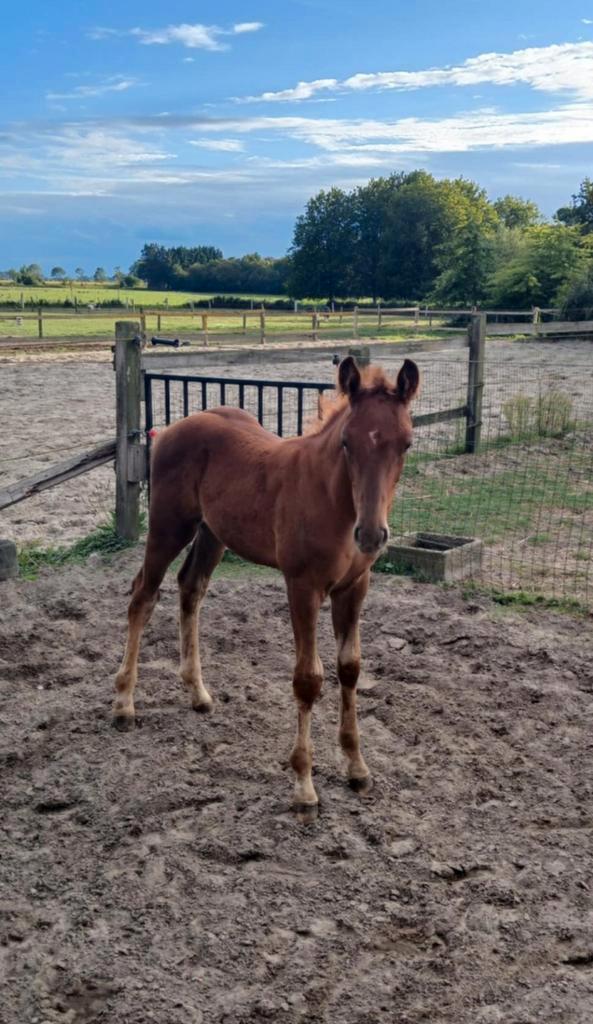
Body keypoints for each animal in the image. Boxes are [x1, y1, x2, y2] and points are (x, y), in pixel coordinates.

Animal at [113, 356, 419, 818]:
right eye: (347, 442)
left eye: (406, 444)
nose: (370, 535)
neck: (333, 500)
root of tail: (171, 429)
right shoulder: (303, 586)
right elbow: (308, 679)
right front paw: (304, 788)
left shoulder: (354, 587)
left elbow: (350, 668)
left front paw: (357, 768)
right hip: (169, 526)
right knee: (142, 597)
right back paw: (124, 704)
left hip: (213, 533)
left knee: (191, 587)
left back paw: (198, 692)